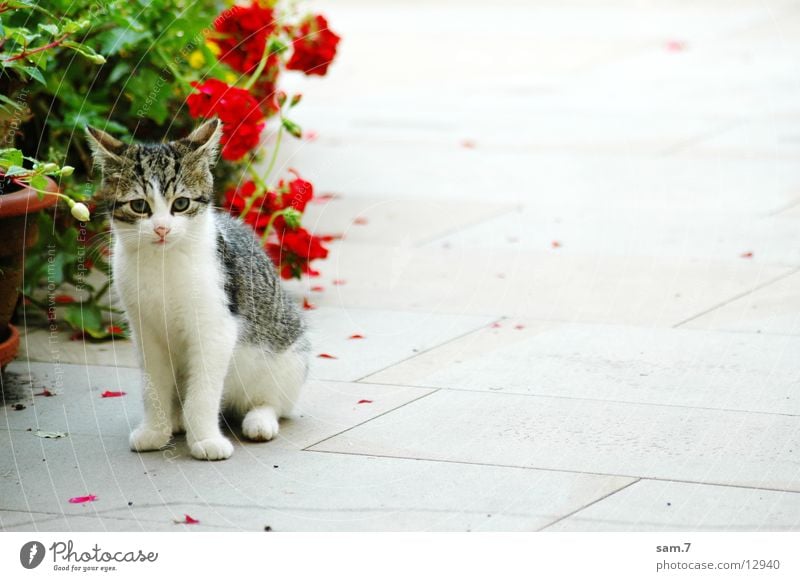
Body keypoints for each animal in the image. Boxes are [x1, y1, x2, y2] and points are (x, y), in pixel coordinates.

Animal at [85, 120, 310, 460]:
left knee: (275, 398)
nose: (161, 228)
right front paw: (155, 430)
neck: (163, 264)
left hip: (289, 353)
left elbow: (204, 389)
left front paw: (205, 439)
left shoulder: (217, 325)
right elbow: (153, 382)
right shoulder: (144, 329)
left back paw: (260, 419)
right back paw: (176, 418)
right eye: (139, 205)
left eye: (181, 204)